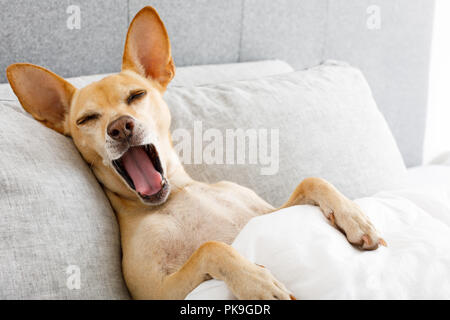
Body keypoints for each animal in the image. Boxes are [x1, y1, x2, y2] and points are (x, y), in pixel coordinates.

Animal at [6, 5, 386, 300]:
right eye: (86, 119)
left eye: (136, 95)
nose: (120, 127)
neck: (177, 195)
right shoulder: (156, 291)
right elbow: (212, 248)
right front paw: (256, 280)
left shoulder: (265, 213)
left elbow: (312, 180)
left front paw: (354, 217)